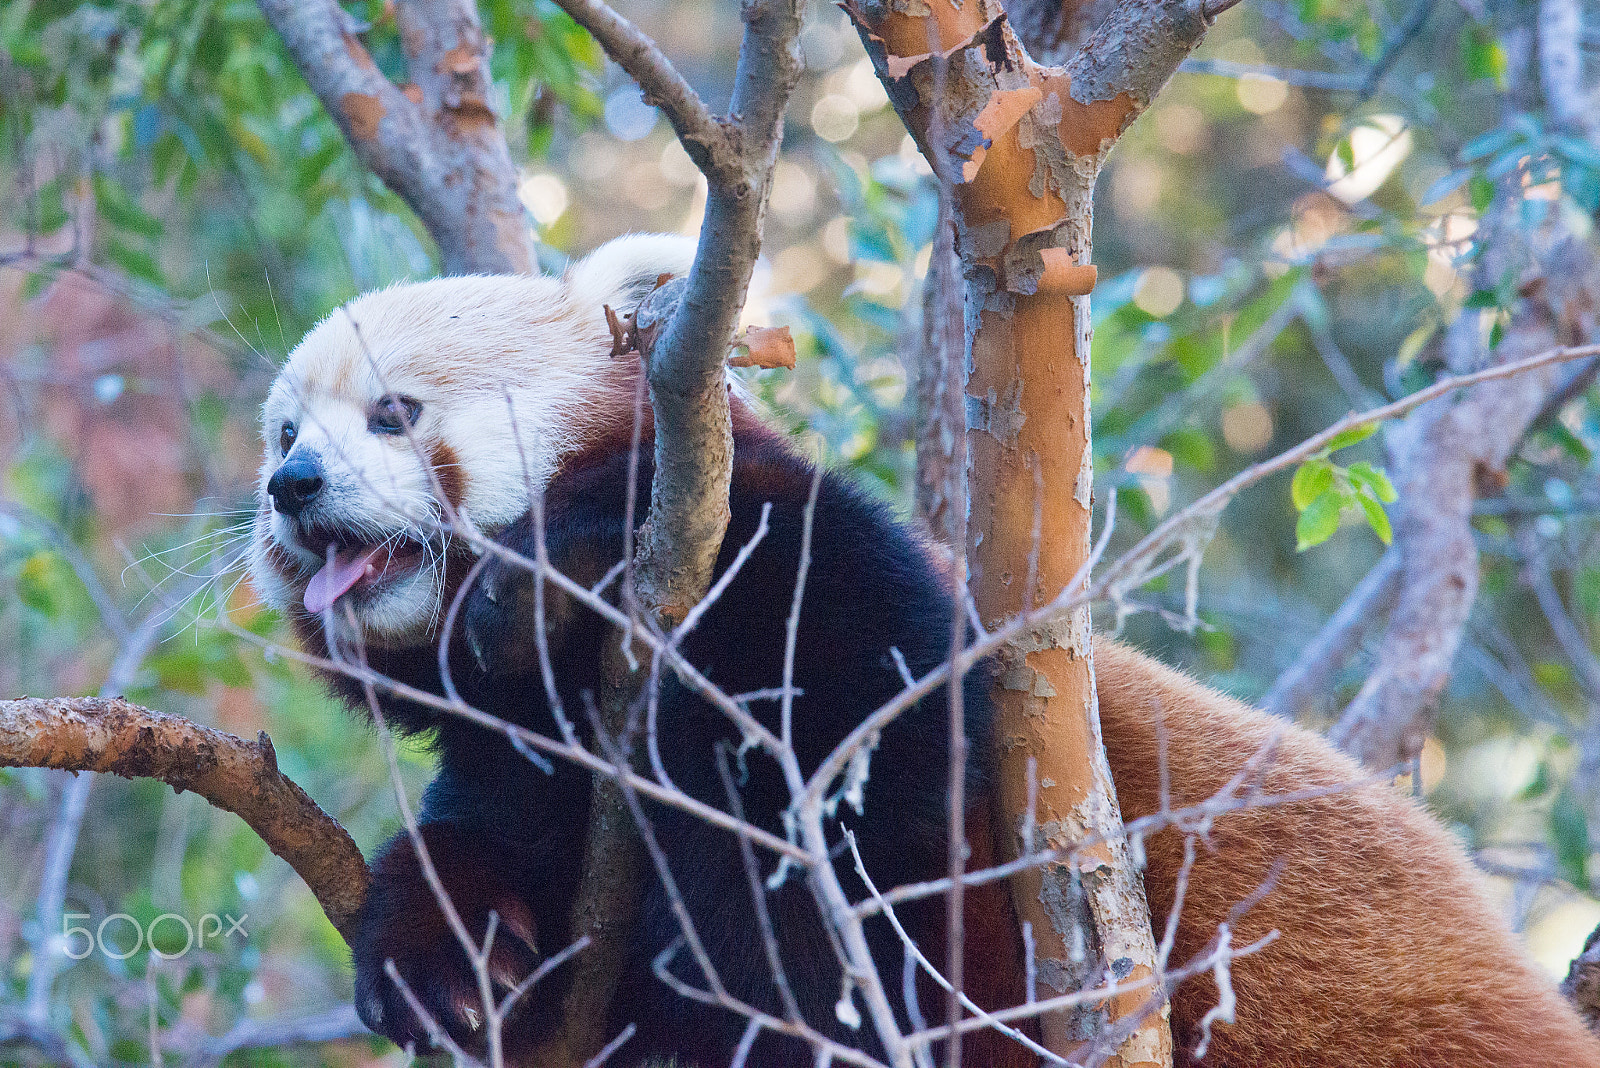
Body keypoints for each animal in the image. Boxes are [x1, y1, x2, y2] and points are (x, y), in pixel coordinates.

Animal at [247, 234, 1600, 1067]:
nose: (290, 488)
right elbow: (502, 866)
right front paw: (446, 950)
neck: (574, 702)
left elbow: (846, 848)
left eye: (394, 412)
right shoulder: (531, 767)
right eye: (283, 429)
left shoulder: (829, 607)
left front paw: (555, 573)